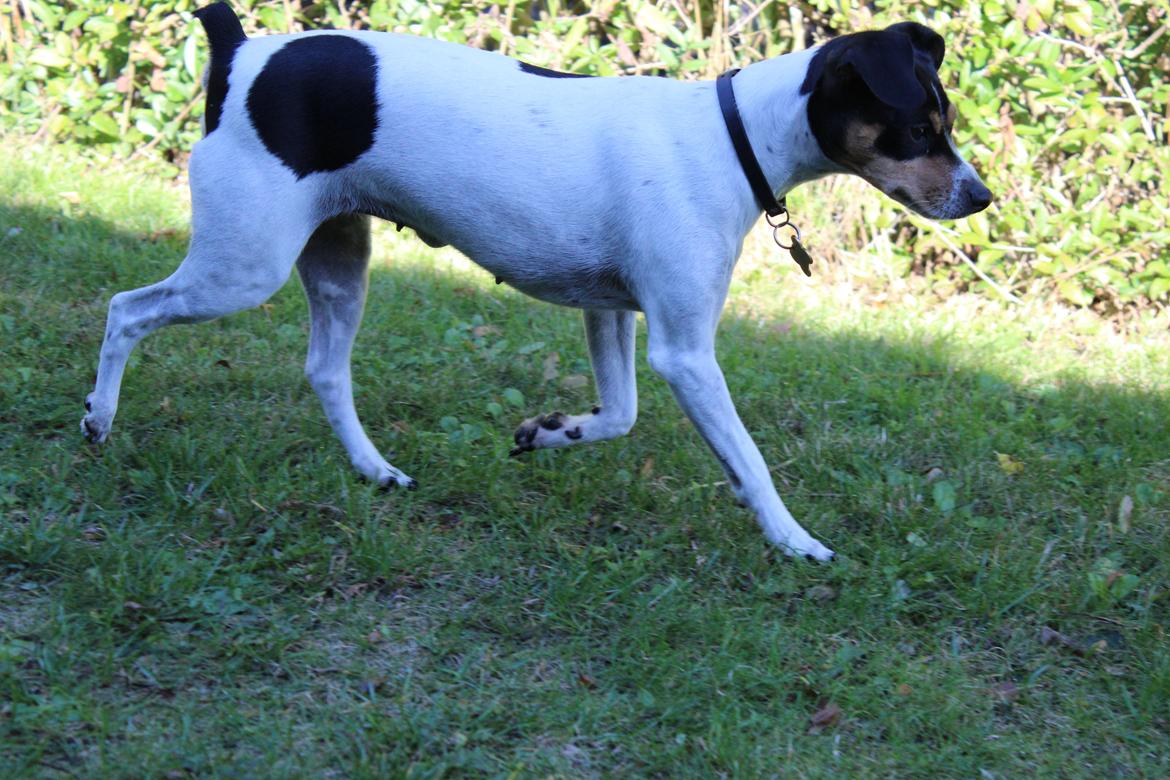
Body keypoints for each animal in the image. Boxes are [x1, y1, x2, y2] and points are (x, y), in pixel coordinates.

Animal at [82, 1, 992, 561]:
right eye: (921, 130)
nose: (982, 197)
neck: (735, 136)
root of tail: (241, 54)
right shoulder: (684, 351)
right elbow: (749, 459)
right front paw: (792, 538)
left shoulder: (611, 314)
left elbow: (618, 417)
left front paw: (549, 432)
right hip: (243, 267)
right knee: (126, 310)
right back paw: (98, 419)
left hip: (337, 263)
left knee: (325, 371)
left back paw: (375, 471)